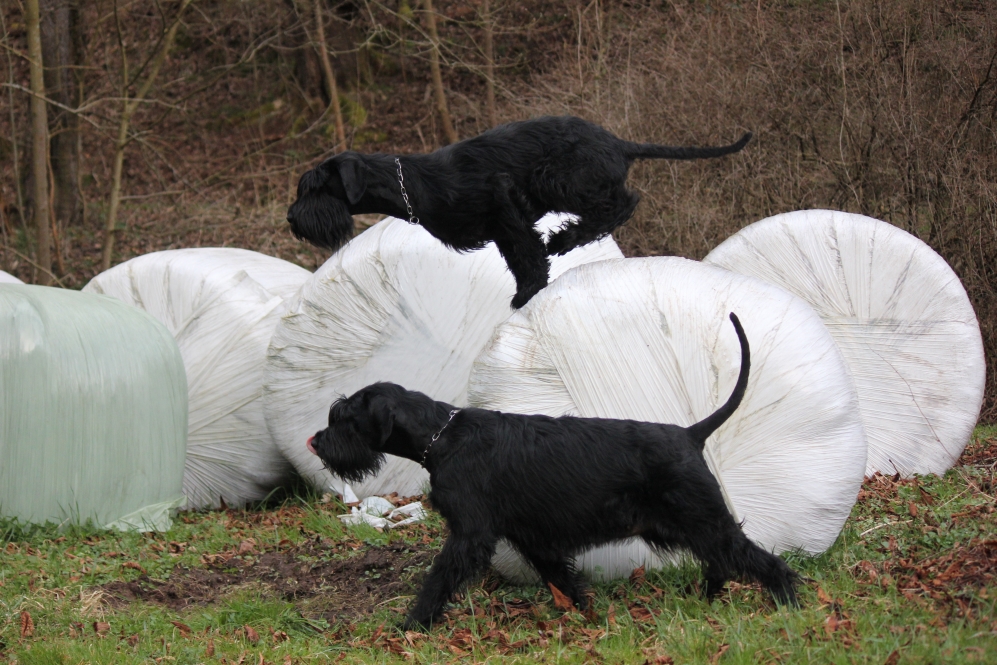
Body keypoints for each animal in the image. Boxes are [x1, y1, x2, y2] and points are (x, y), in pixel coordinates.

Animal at [286, 115, 748, 308]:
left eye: (314, 188)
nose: (292, 218)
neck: (410, 184)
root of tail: (618, 143)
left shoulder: (505, 205)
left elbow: (526, 252)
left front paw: (529, 290)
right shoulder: (500, 225)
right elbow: (517, 255)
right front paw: (528, 286)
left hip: (559, 180)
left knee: (621, 204)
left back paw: (564, 239)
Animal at [308, 312, 796, 628]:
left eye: (344, 418)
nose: (315, 442)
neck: (441, 437)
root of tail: (691, 434)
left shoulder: (470, 534)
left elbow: (440, 578)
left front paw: (413, 624)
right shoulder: (532, 538)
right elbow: (562, 578)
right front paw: (587, 617)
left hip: (699, 517)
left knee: (757, 558)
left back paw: (788, 601)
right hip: (676, 526)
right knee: (721, 558)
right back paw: (709, 598)